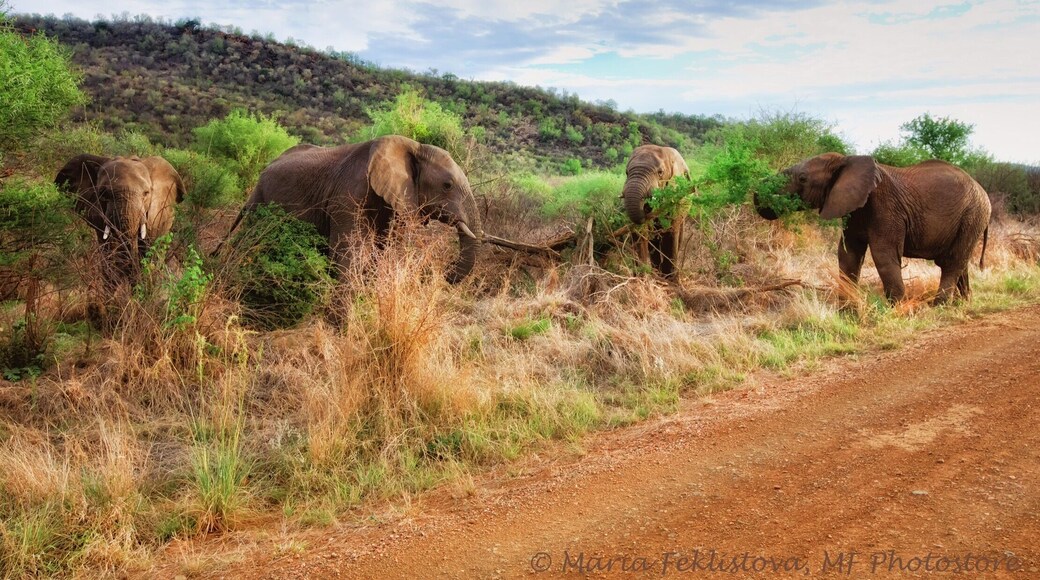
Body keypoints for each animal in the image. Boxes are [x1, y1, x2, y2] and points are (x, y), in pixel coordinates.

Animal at [230, 135, 484, 283]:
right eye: (447, 185)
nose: (444, 273)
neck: (413, 146)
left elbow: (384, 248)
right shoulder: (348, 195)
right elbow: (350, 250)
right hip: (259, 200)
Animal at [622, 144, 690, 276]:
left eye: (660, 173)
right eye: (627, 172)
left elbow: (669, 234)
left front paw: (668, 277)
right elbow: (639, 233)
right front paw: (641, 275)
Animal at [754, 153, 991, 303]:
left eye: (803, 178)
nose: (757, 194)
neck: (846, 161)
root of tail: (983, 190)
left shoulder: (885, 208)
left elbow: (883, 254)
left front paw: (897, 310)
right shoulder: (853, 210)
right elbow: (848, 255)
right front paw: (847, 311)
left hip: (972, 216)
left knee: (951, 262)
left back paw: (939, 306)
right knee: (959, 261)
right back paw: (962, 303)